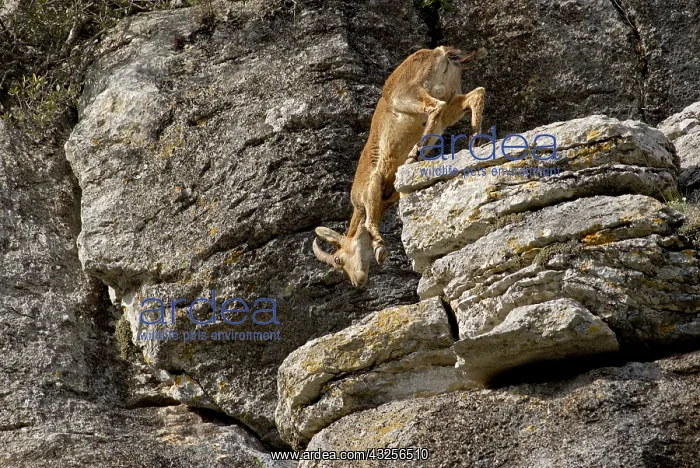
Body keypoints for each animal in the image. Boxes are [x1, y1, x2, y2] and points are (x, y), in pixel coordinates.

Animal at [313, 46, 486, 287]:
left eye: (338, 259)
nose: (357, 282)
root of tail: (439, 52)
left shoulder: (370, 186)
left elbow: (369, 223)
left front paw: (380, 249)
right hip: (451, 96)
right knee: (474, 95)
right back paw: (474, 139)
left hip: (409, 96)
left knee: (436, 108)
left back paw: (415, 153)